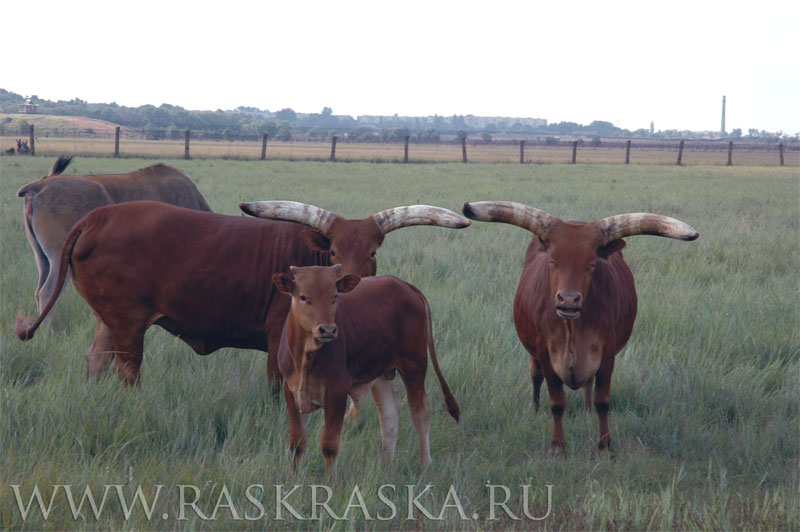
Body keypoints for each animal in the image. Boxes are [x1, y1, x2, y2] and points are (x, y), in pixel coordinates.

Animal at [15, 200, 468, 386]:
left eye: (372, 251)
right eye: (334, 252)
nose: (352, 284)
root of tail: (99, 216)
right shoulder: (277, 338)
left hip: (109, 317)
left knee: (96, 359)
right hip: (128, 320)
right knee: (128, 368)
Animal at [272, 266, 460, 474]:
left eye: (334, 296)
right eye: (303, 297)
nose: (327, 330)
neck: (306, 358)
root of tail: (405, 286)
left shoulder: (337, 392)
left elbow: (329, 445)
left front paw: (330, 480)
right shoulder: (292, 391)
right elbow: (297, 443)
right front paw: (294, 476)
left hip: (415, 366)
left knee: (420, 412)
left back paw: (425, 463)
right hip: (381, 374)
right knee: (389, 414)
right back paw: (386, 466)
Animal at [462, 202, 700, 456]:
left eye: (592, 263)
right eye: (553, 260)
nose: (568, 300)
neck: (572, 327)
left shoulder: (607, 354)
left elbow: (602, 400)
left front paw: (604, 445)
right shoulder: (545, 354)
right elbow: (557, 402)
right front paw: (558, 446)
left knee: (588, 386)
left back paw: (586, 413)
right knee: (534, 374)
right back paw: (534, 408)